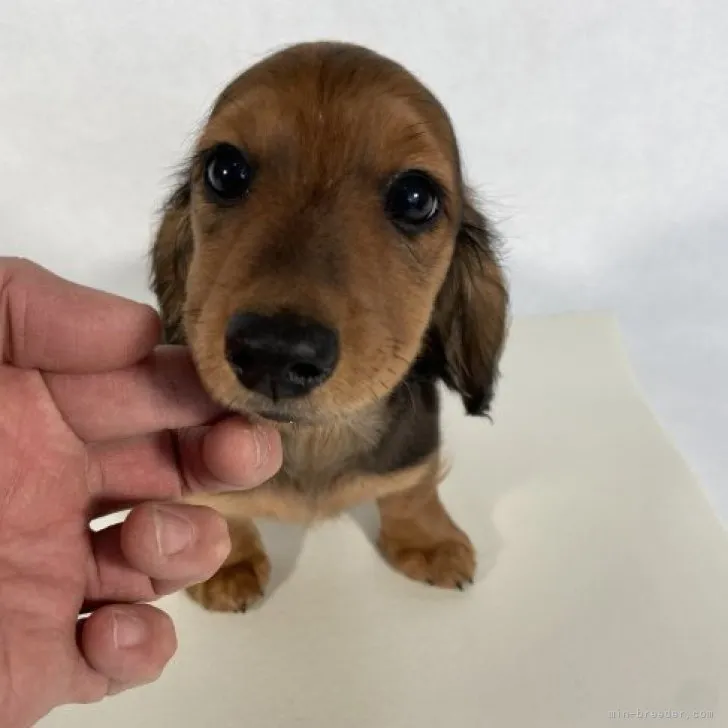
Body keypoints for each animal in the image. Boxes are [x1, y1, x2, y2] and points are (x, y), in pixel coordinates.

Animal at [151, 38, 510, 608]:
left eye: (416, 198)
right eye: (225, 171)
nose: (274, 352)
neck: (314, 439)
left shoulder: (415, 445)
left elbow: (413, 486)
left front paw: (429, 541)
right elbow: (219, 504)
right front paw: (229, 563)